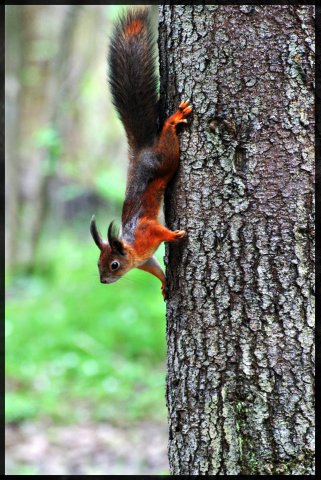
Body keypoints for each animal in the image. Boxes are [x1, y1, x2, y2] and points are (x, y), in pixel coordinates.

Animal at [89, 8, 191, 300]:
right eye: (98, 264)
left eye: (113, 264)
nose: (103, 281)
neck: (133, 250)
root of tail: (140, 150)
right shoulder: (147, 260)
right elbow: (156, 269)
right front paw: (165, 284)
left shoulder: (147, 230)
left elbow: (160, 230)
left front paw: (174, 236)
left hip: (166, 158)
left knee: (167, 137)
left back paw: (172, 119)